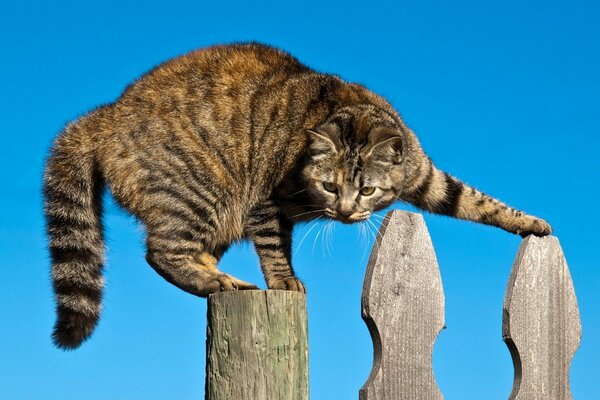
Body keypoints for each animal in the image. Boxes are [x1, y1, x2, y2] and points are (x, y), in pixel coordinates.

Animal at [42, 42, 552, 348]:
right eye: (330, 186)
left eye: (367, 189)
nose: (344, 211)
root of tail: (107, 113)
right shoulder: (266, 202)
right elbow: (274, 247)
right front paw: (285, 281)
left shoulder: (425, 176)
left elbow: (474, 199)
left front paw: (529, 222)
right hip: (203, 192)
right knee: (161, 252)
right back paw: (215, 280)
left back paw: (216, 272)